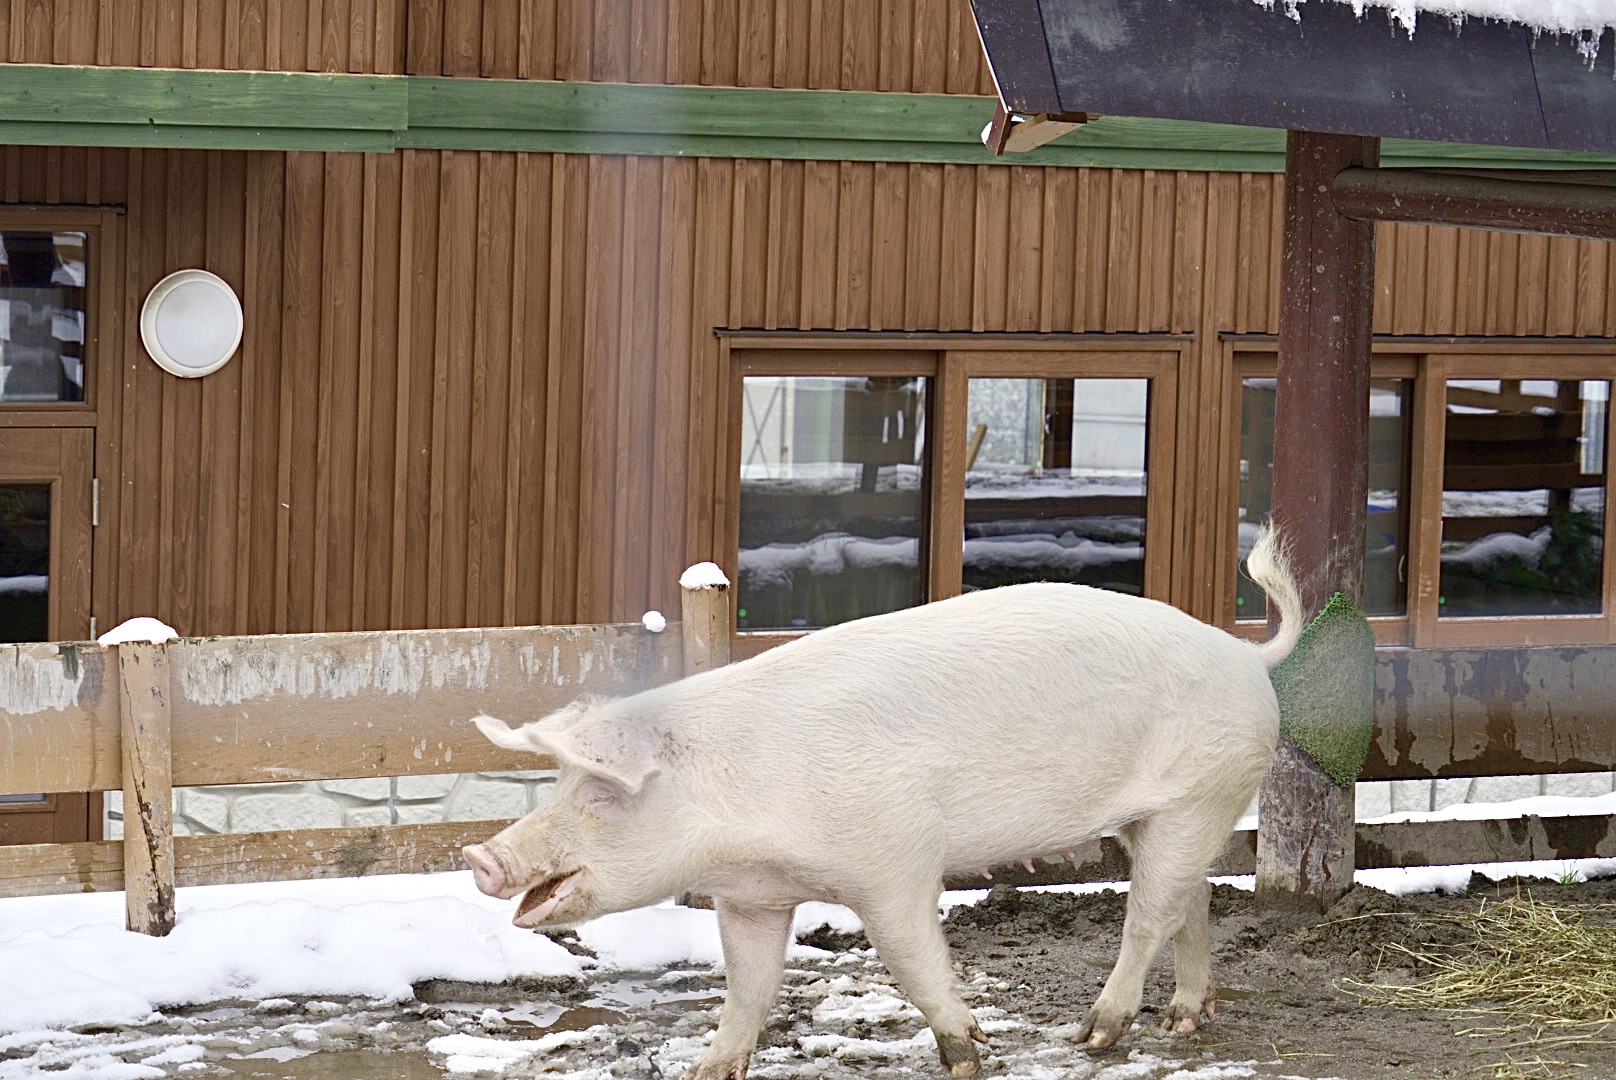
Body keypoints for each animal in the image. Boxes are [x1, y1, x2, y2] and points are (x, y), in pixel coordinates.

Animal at [465, 523, 1299, 1080]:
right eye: (562, 785)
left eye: (602, 793)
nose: (480, 855)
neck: (743, 824)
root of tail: (1246, 654)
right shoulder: (751, 899)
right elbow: (747, 987)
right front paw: (708, 1070)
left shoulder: (894, 863)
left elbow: (911, 957)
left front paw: (968, 1053)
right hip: (1162, 814)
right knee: (1190, 901)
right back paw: (1186, 1019)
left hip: (1202, 791)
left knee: (1151, 915)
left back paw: (1093, 1035)